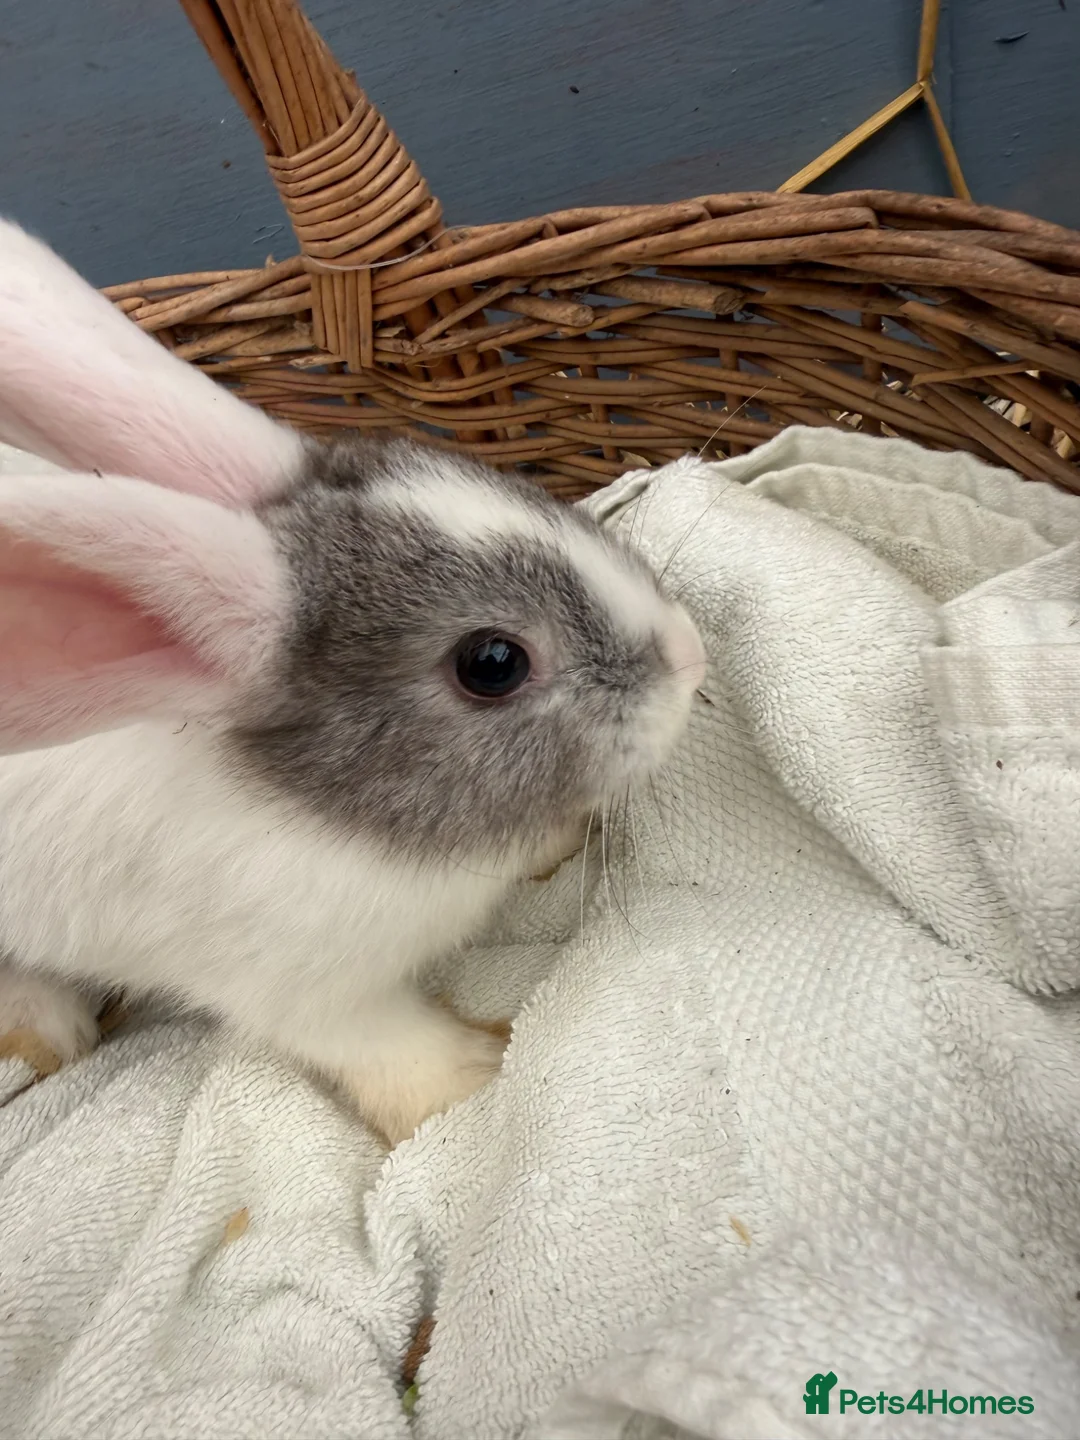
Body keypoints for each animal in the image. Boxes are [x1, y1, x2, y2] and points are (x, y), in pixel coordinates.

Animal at [0, 219, 707, 1144]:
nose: (693, 656)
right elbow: (386, 1046)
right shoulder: (299, 988)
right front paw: (473, 1080)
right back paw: (47, 1026)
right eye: (492, 663)